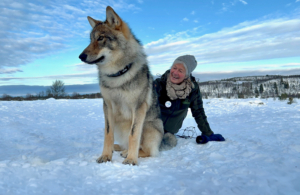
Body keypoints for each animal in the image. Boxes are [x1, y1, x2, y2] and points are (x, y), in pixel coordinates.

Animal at [79, 6, 175, 165]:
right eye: (91, 40)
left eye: (101, 38)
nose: (80, 56)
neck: (117, 75)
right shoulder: (107, 106)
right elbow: (108, 134)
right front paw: (106, 156)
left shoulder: (138, 108)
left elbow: (133, 135)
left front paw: (131, 159)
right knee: (122, 142)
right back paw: (118, 148)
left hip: (149, 126)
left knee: (149, 151)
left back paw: (126, 153)